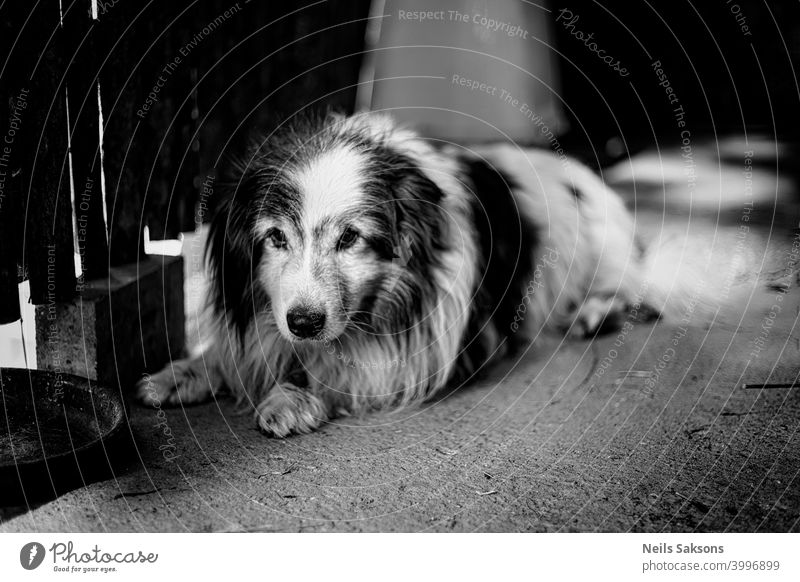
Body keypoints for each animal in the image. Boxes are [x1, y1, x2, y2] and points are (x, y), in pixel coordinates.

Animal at [138, 110, 708, 438]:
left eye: (351, 238)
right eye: (275, 238)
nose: (303, 322)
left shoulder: (441, 349)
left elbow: (341, 369)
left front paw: (290, 397)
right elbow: (233, 353)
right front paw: (178, 375)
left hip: (600, 241)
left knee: (633, 288)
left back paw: (598, 311)